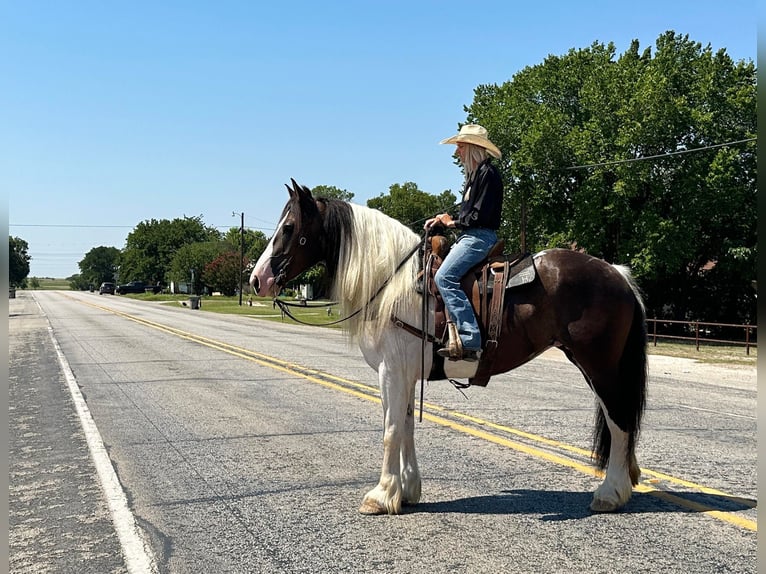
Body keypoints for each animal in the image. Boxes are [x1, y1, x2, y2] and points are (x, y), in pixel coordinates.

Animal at [250, 181, 648, 516]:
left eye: (289, 228)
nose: (257, 280)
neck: (393, 282)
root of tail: (616, 272)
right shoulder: (405, 374)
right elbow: (406, 427)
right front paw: (407, 490)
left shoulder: (391, 371)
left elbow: (390, 430)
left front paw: (381, 496)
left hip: (600, 368)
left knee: (619, 422)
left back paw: (610, 493)